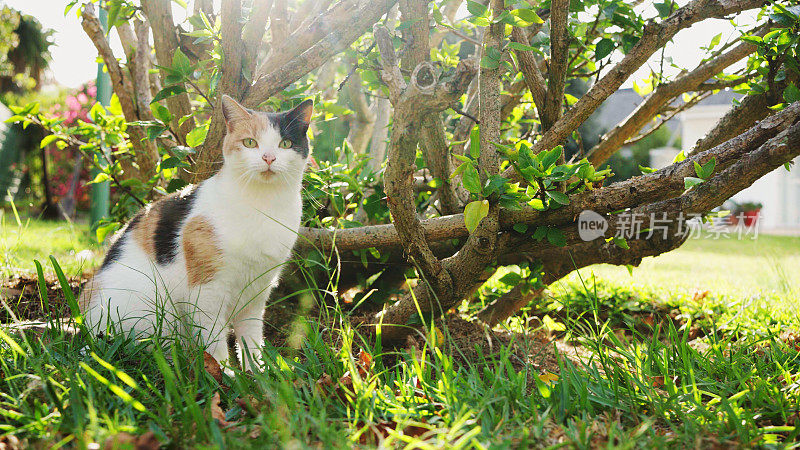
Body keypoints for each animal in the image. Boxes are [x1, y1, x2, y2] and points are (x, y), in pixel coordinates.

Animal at [80, 95, 312, 370]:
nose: (268, 158)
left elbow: (251, 337)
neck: (263, 205)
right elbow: (214, 339)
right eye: (250, 142)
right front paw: (224, 374)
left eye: (285, 144)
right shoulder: (207, 291)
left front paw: (258, 373)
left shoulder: (257, 292)